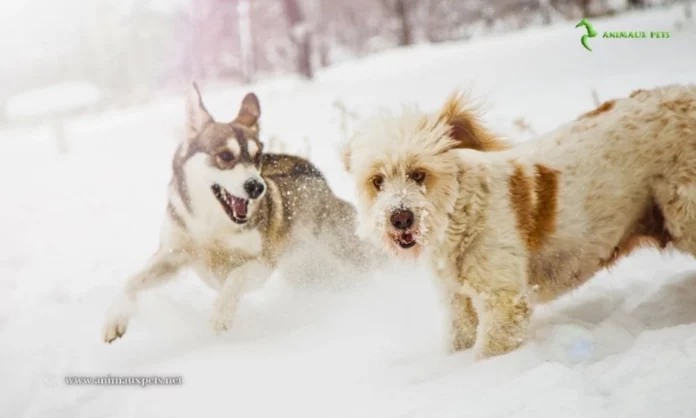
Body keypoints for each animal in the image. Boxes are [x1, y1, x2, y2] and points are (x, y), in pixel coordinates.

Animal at [101, 82, 372, 342]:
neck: (210, 226)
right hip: (306, 271)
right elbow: (132, 281)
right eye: (225, 155)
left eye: (256, 156)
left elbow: (235, 277)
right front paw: (115, 318)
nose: (257, 187)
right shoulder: (172, 255)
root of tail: (314, 173)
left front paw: (221, 314)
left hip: (341, 250)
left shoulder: (262, 262)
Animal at [342, 85, 696, 360]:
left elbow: (488, 352)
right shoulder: (458, 302)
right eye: (377, 181)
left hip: (685, 214)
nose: (400, 218)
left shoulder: (503, 302)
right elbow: (459, 338)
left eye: (419, 174)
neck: (461, 213)